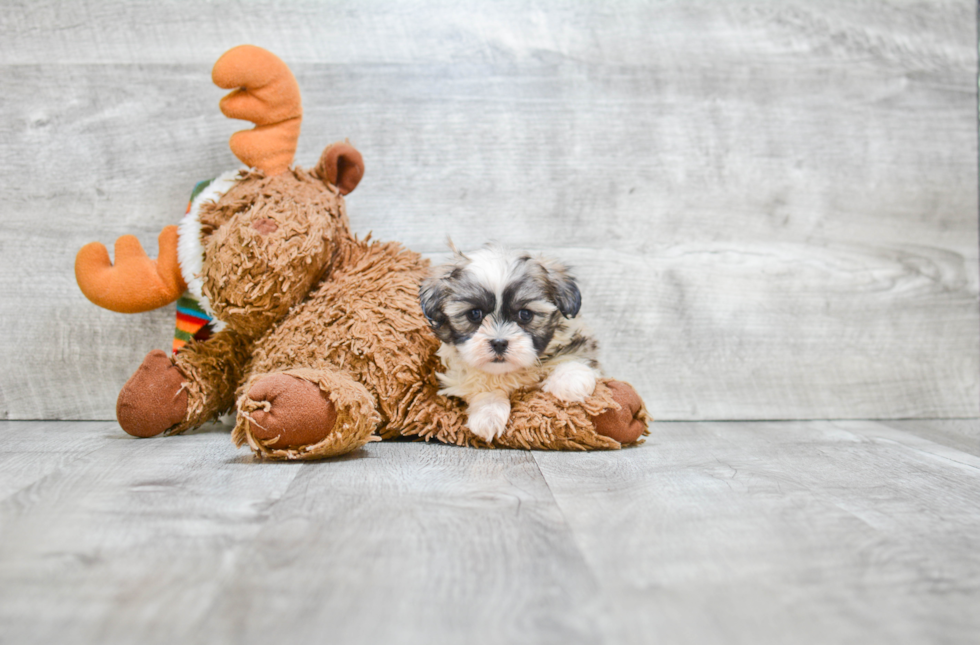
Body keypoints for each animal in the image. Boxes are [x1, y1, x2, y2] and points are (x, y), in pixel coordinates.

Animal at [424, 244, 604, 440]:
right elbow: (482, 385)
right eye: (474, 314)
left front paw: (570, 380)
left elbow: (573, 354)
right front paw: (488, 414)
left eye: (525, 314)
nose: (499, 343)